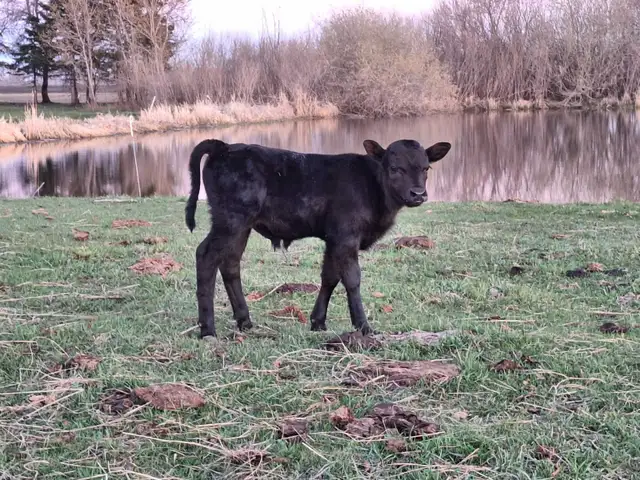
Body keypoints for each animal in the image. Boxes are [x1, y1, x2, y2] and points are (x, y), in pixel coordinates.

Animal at [185, 138, 451, 340]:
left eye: (426, 168)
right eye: (395, 168)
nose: (418, 194)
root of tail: (225, 146)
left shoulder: (334, 239)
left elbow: (330, 277)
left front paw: (318, 322)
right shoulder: (346, 236)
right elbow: (352, 279)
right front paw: (363, 326)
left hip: (241, 226)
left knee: (230, 263)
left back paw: (245, 321)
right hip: (231, 220)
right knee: (206, 256)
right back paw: (208, 329)